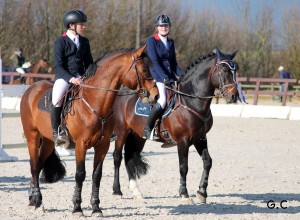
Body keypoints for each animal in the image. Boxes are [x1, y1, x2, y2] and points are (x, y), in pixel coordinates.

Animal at [19, 45, 157, 216]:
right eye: (144, 69)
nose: (155, 95)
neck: (95, 103)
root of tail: (31, 89)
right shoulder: (81, 145)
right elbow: (80, 174)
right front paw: (77, 208)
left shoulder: (102, 145)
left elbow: (96, 175)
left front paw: (96, 208)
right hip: (32, 136)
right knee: (34, 165)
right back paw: (37, 202)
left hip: (48, 142)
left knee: (38, 165)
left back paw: (34, 200)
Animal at [112, 48, 241, 205]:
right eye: (223, 70)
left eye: (236, 70)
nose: (234, 96)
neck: (191, 101)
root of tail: (121, 92)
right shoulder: (182, 140)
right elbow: (183, 167)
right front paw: (184, 194)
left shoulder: (200, 138)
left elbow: (207, 162)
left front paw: (202, 192)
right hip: (121, 132)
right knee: (117, 158)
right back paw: (117, 191)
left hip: (137, 136)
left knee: (129, 157)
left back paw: (136, 192)